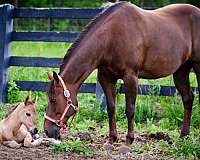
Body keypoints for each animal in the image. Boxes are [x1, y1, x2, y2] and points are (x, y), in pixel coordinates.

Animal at [44, 1, 200, 145]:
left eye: (53, 99)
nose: (47, 131)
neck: (111, 38)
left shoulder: (130, 77)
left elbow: (130, 109)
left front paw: (129, 139)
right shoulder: (106, 78)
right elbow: (111, 108)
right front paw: (112, 138)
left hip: (197, 66)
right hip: (181, 70)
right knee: (188, 98)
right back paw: (184, 135)